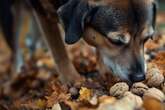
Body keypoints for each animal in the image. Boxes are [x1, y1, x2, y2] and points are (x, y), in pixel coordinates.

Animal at [0, 0, 157, 84]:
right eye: (115, 41)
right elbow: (58, 50)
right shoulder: (42, 11)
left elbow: (99, 48)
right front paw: (72, 80)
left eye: (147, 38)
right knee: (15, 50)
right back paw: (15, 78)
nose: (139, 77)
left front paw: (105, 71)